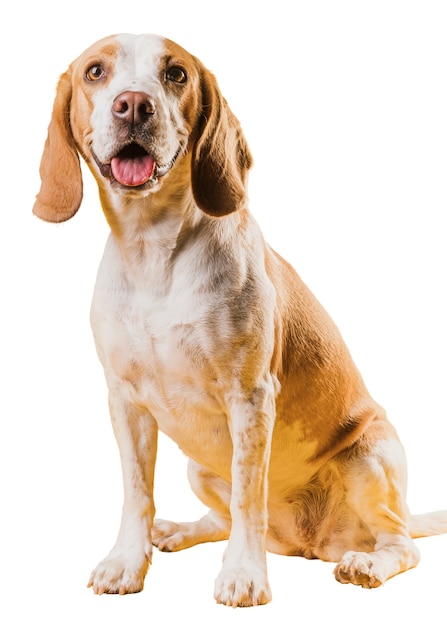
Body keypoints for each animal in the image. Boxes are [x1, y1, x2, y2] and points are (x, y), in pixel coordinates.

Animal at [34, 34, 447, 604]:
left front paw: (244, 574)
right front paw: (127, 561)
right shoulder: (125, 403)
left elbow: (250, 493)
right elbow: (137, 492)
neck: (153, 252)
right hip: (197, 469)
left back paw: (366, 563)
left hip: (368, 459)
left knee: (402, 545)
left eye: (177, 74)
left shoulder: (249, 398)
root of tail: (311, 543)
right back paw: (179, 530)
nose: (134, 105)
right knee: (220, 518)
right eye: (95, 71)